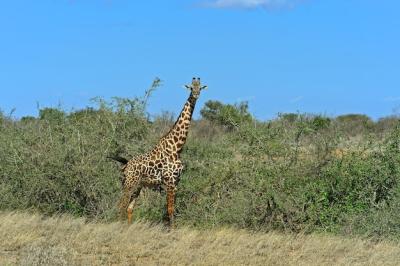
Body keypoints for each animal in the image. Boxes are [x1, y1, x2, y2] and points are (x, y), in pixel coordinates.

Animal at [111, 78, 208, 225]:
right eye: (191, 88)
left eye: (200, 88)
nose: (196, 94)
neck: (177, 147)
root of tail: (125, 166)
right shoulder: (169, 181)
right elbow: (170, 210)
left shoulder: (176, 182)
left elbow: (172, 210)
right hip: (129, 184)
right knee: (121, 206)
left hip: (137, 186)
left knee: (129, 208)